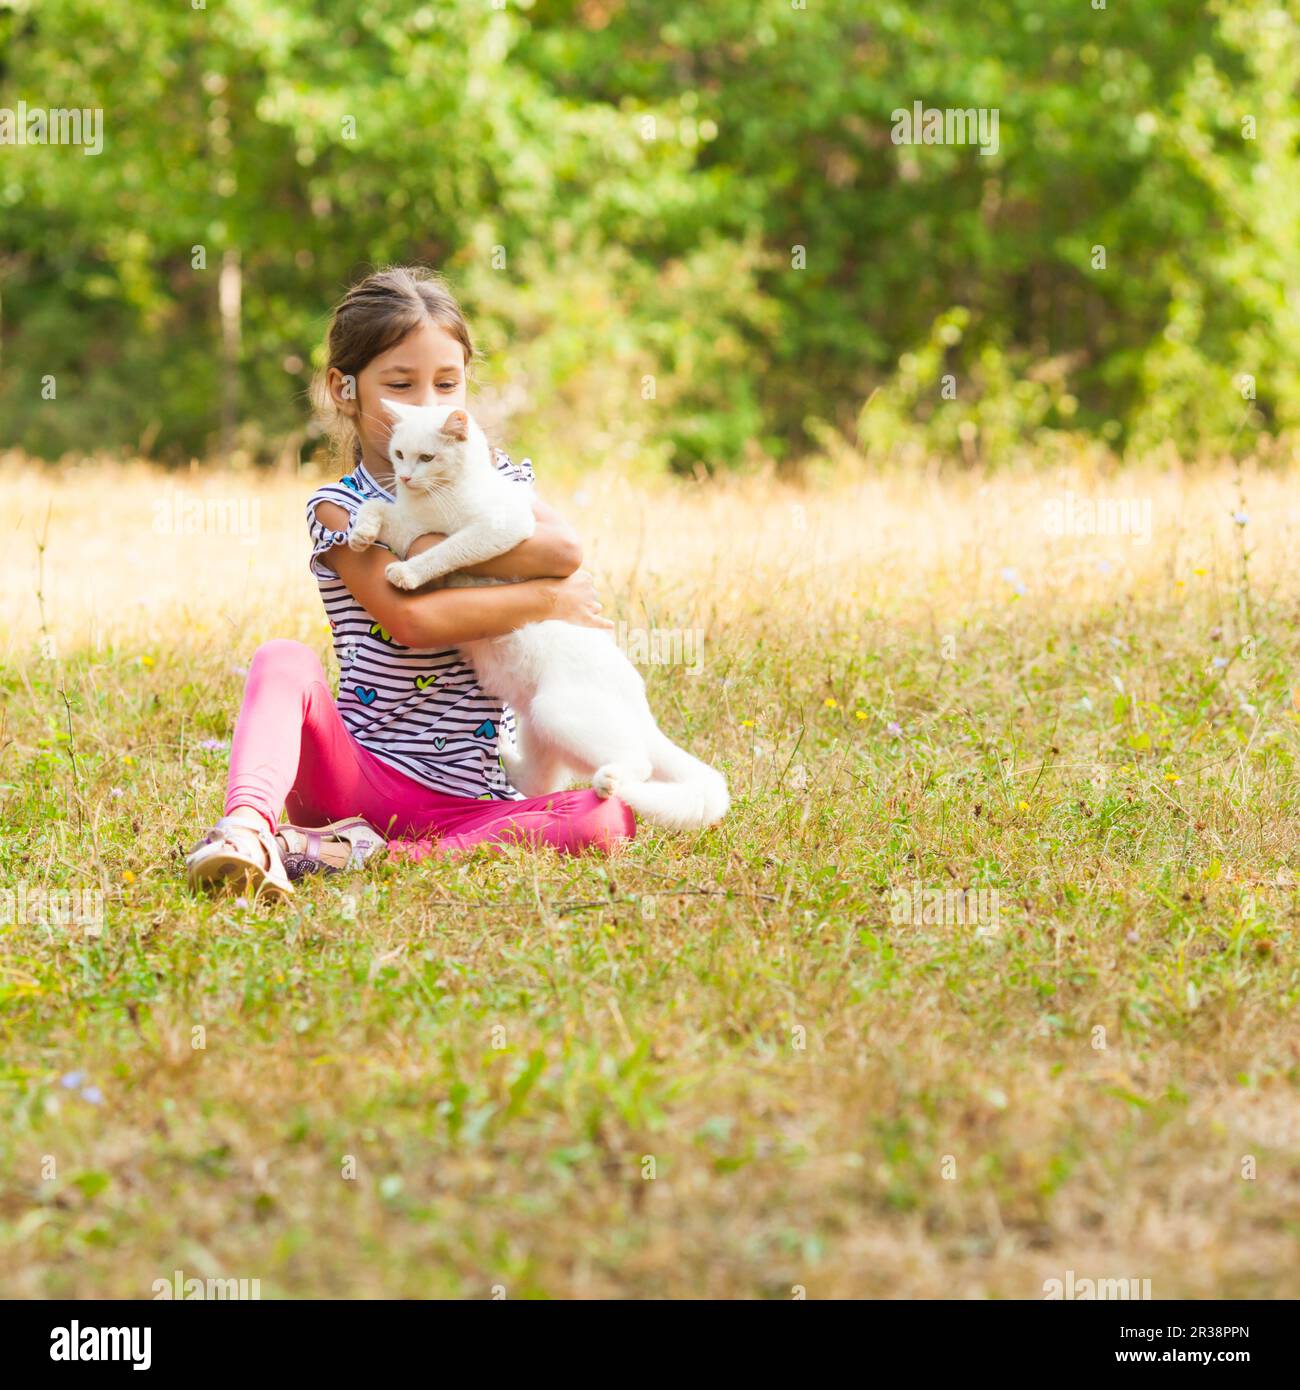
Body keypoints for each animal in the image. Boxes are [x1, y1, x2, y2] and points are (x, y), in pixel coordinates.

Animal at [346, 403, 734, 834]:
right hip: (538, 724)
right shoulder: (407, 525)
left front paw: (408, 573)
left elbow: (444, 550)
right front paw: (360, 533)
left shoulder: (499, 528)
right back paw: (504, 748)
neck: (434, 499)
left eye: (427, 458)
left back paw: (609, 781)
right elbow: (376, 508)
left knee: (639, 764)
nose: (404, 477)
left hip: (557, 711)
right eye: (399, 454)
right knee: (538, 782)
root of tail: (642, 710)